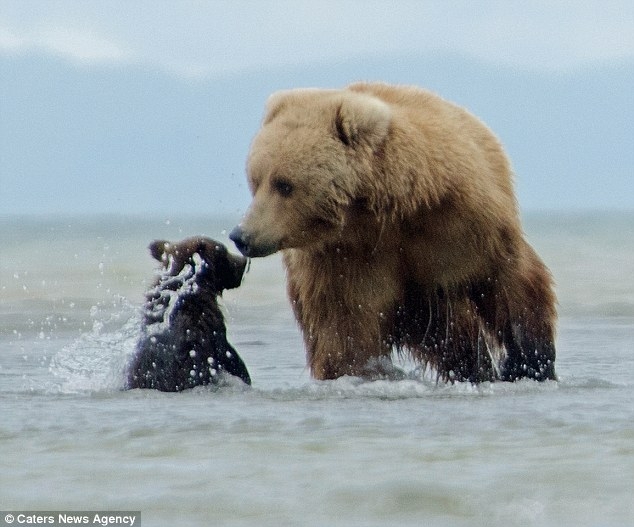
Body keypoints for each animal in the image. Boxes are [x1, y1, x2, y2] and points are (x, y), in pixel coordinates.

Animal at [228, 84, 552, 386]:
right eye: (255, 181)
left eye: (283, 184)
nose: (241, 235)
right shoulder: (344, 261)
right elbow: (345, 332)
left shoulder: (463, 229)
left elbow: (513, 286)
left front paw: (529, 364)